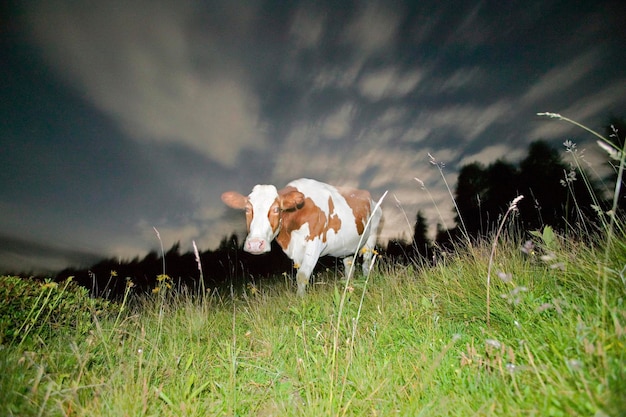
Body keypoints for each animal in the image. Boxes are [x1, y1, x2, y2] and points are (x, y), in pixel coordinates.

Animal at [222, 177, 382, 294]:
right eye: (247, 209)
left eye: (276, 209)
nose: (255, 244)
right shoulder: (296, 250)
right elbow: (300, 274)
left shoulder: (315, 244)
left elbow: (302, 276)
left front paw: (301, 300)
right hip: (346, 246)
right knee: (350, 267)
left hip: (371, 236)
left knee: (366, 263)